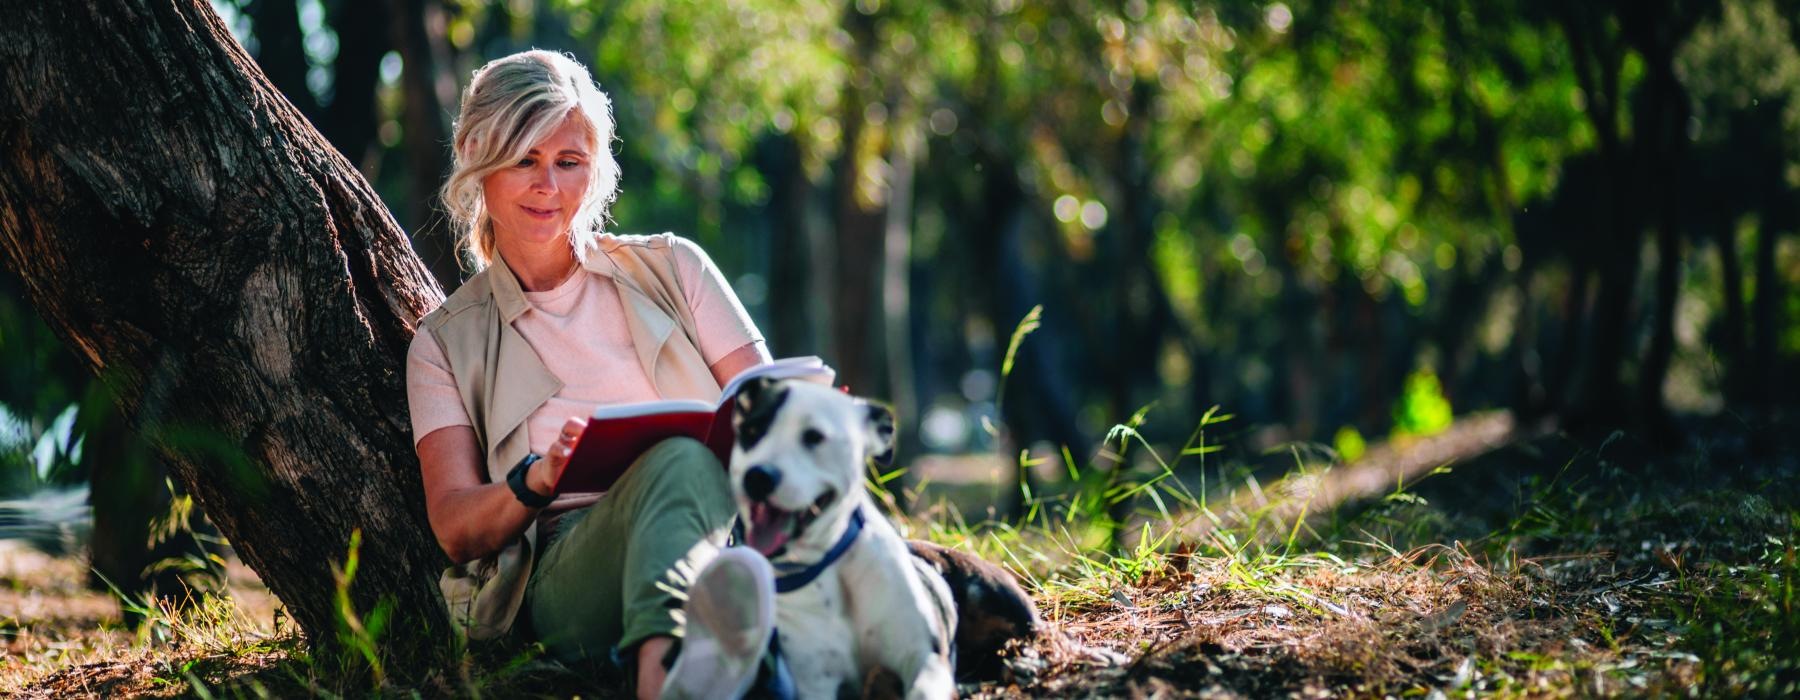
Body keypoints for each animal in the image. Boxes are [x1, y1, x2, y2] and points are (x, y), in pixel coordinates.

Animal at [730, 379, 1044, 698]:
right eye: (750, 433)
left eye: (814, 437)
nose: (757, 476)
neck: (830, 565)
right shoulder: (815, 681)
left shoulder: (924, 657)